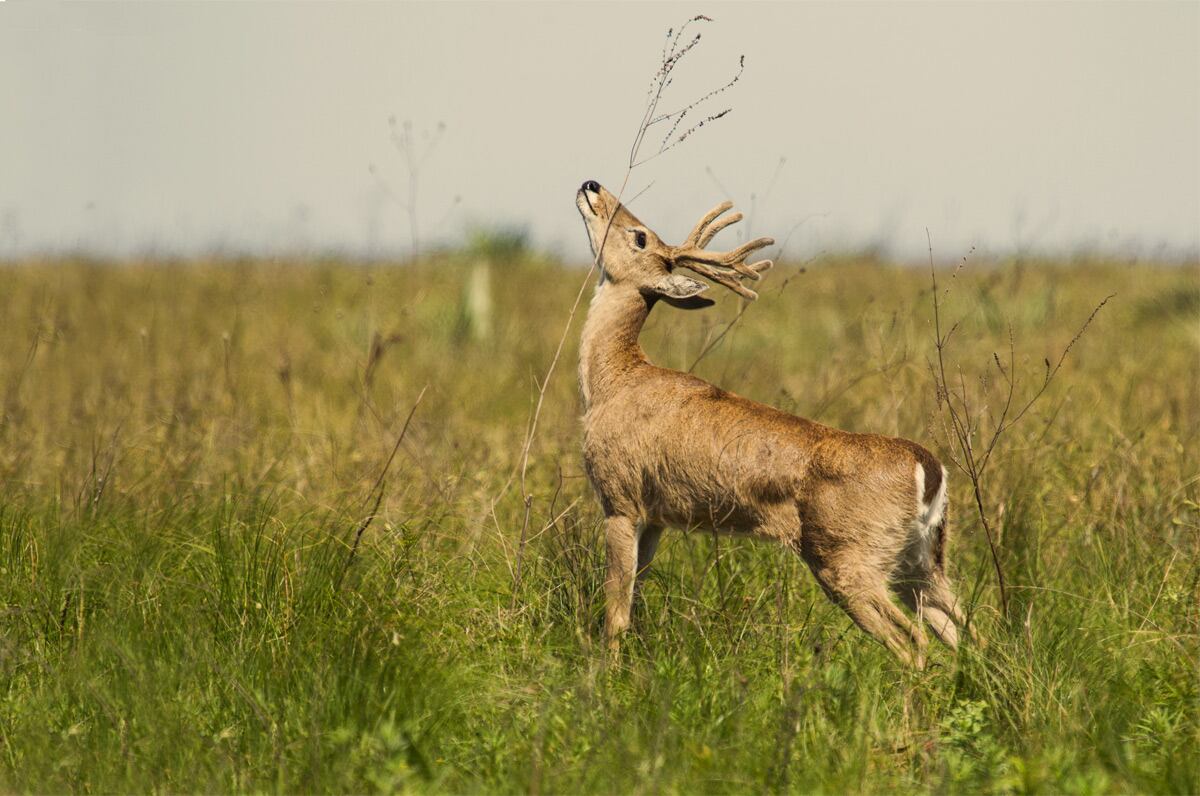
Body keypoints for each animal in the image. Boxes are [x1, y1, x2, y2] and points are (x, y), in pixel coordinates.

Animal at [573, 178, 974, 667]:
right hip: (920, 557)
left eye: (640, 237)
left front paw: (606, 672)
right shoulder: (656, 517)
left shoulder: (620, 498)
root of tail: (927, 466)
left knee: (913, 640)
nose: (592, 185)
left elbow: (615, 608)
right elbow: (635, 596)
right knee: (965, 628)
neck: (613, 378)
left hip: (848, 556)